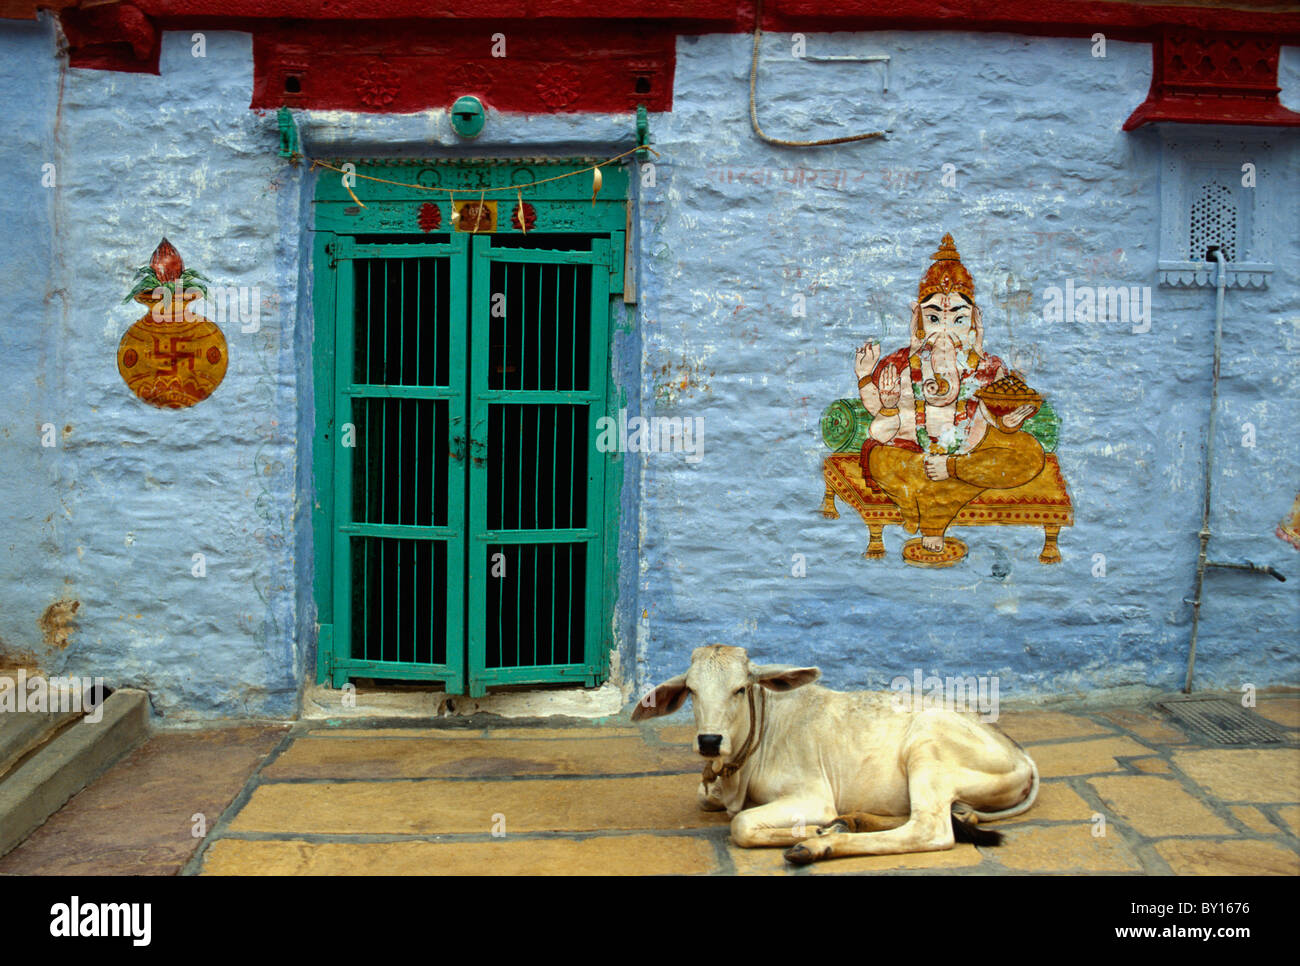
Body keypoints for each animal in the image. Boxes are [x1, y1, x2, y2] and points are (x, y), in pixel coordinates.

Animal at [634, 644, 1040, 863]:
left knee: (930, 830)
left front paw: (812, 830)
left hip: (926, 749)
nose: (709, 741)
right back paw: (849, 822)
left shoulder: (812, 796)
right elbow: (706, 800)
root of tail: (1022, 755)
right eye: (691, 690)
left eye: (740, 688)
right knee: (951, 817)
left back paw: (821, 843)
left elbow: (742, 825)